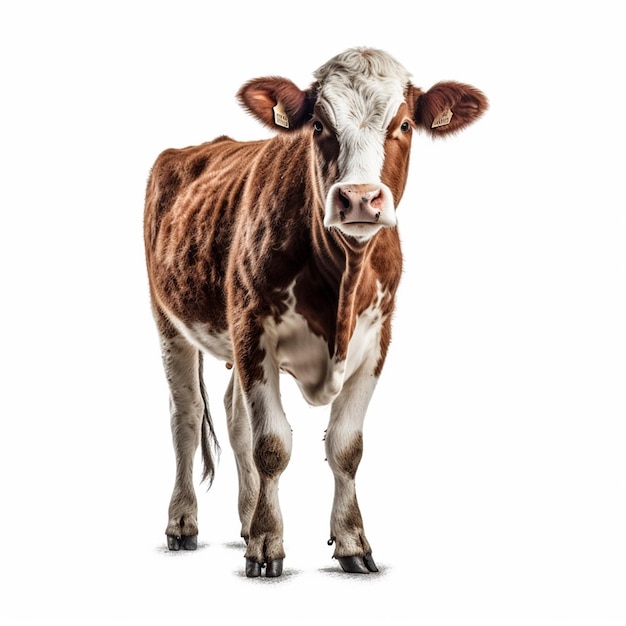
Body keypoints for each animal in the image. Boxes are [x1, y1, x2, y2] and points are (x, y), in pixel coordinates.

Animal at [144, 47, 486, 576]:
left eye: (405, 124)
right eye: (319, 125)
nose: (360, 198)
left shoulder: (376, 342)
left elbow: (345, 447)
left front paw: (351, 542)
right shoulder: (253, 331)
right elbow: (272, 444)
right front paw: (267, 545)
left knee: (233, 417)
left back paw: (245, 519)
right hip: (168, 320)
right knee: (186, 415)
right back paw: (183, 523)